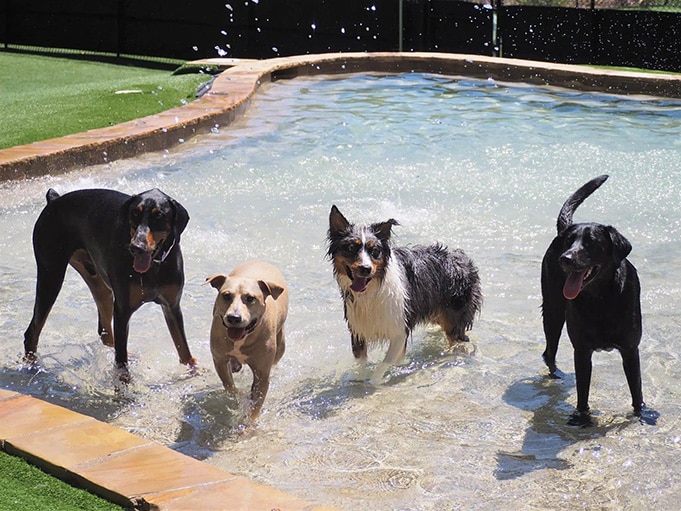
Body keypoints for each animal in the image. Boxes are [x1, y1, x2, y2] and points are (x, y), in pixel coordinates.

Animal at [22, 188, 195, 380]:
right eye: (135, 213)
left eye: (159, 216)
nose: (137, 247)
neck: (155, 266)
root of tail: (54, 201)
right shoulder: (122, 311)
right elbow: (121, 362)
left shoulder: (172, 306)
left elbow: (184, 351)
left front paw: (194, 372)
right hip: (51, 276)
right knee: (32, 332)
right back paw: (33, 368)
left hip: (99, 285)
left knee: (105, 331)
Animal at [203, 262, 286, 422]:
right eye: (226, 295)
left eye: (250, 298)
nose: (234, 317)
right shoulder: (219, 360)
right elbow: (230, 386)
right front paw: (240, 397)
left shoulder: (262, 374)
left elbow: (256, 404)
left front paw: (249, 423)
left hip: (281, 344)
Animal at [326, 205, 480, 384]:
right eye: (351, 248)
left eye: (375, 251)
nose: (365, 269)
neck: (372, 290)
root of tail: (462, 256)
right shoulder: (358, 330)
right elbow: (361, 364)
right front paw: (359, 379)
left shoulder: (399, 330)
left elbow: (384, 363)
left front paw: (376, 382)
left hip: (454, 319)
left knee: (458, 339)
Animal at [540, 176, 656, 428]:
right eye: (570, 242)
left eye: (591, 242)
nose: (565, 258)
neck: (601, 299)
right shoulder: (582, 350)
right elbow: (582, 392)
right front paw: (582, 417)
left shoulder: (630, 350)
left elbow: (636, 390)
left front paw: (641, 413)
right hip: (553, 311)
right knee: (549, 351)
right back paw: (556, 374)